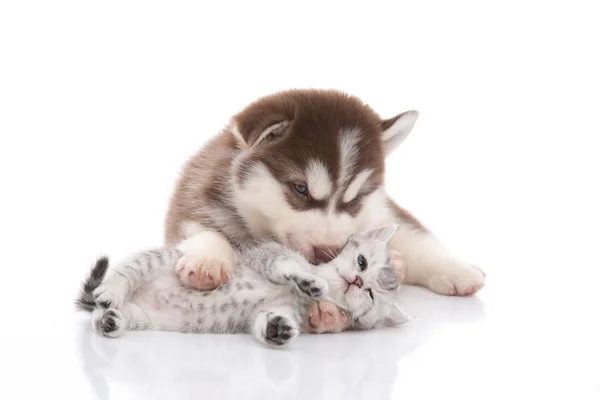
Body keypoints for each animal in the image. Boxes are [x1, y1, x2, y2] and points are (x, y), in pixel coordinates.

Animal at [77, 225, 410, 346]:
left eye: (370, 295)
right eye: (362, 262)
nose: (357, 280)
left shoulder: (282, 308)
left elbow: (268, 318)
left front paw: (278, 328)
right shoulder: (264, 254)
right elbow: (288, 266)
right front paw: (308, 280)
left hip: (144, 318)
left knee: (107, 315)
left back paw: (110, 320)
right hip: (162, 259)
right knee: (126, 272)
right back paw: (111, 291)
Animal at [163, 89, 482, 332]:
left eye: (356, 199)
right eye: (300, 189)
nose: (328, 251)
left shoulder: (379, 209)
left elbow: (414, 235)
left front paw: (455, 268)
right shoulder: (198, 191)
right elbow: (203, 228)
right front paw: (207, 261)